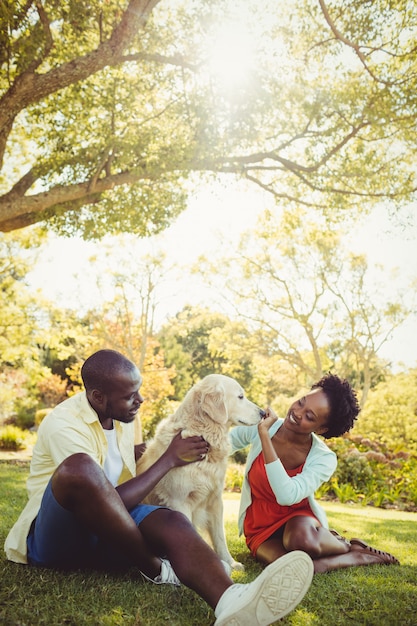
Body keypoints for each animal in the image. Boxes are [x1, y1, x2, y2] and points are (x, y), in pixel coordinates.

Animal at [136, 372, 264, 568]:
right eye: (240, 397)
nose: (263, 413)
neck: (204, 434)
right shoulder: (179, 502)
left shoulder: (216, 500)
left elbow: (220, 537)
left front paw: (231, 563)